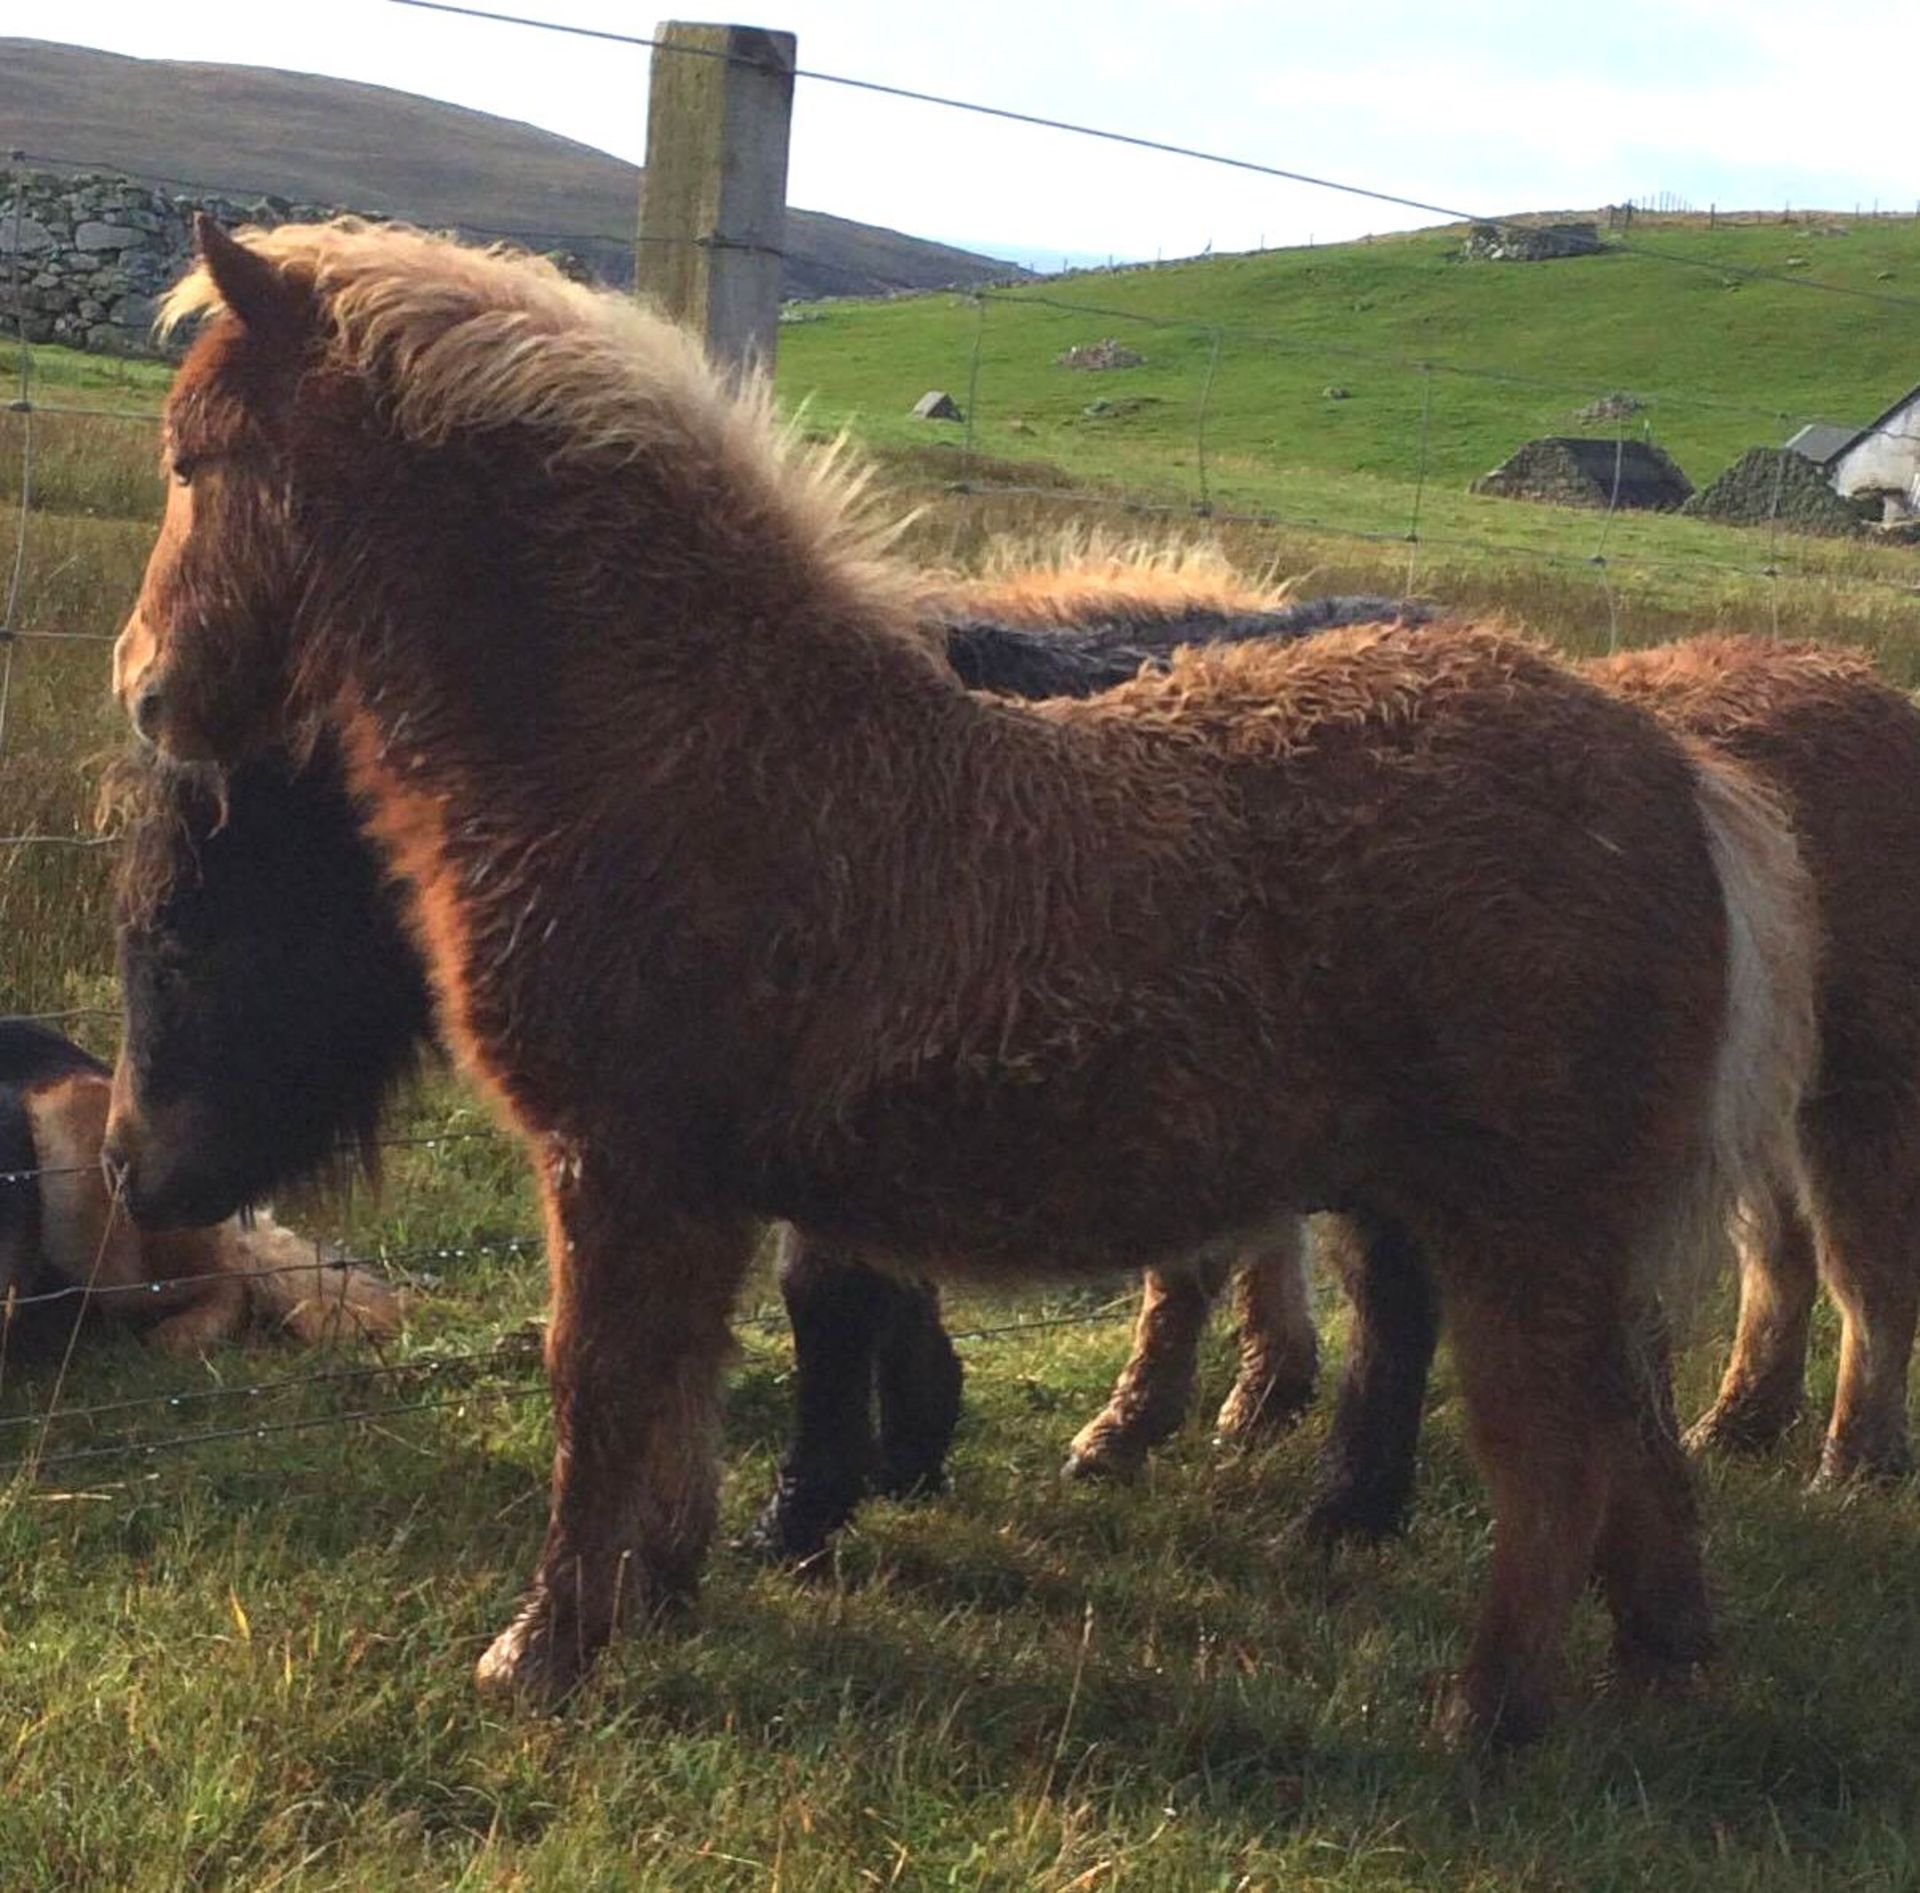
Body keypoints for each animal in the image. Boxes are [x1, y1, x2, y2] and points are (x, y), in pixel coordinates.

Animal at [112, 214, 1820, 1735]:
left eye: (194, 461)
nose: (146, 693)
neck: (681, 742)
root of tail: (1676, 773)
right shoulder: (712, 1187)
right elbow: (680, 1393)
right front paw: (669, 1582)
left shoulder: (622, 1168)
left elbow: (597, 1394)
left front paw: (544, 1652)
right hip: (1559, 1230)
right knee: (1633, 1433)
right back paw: (1660, 1659)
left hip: (1521, 1224)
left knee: (1555, 1453)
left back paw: (1489, 1708)